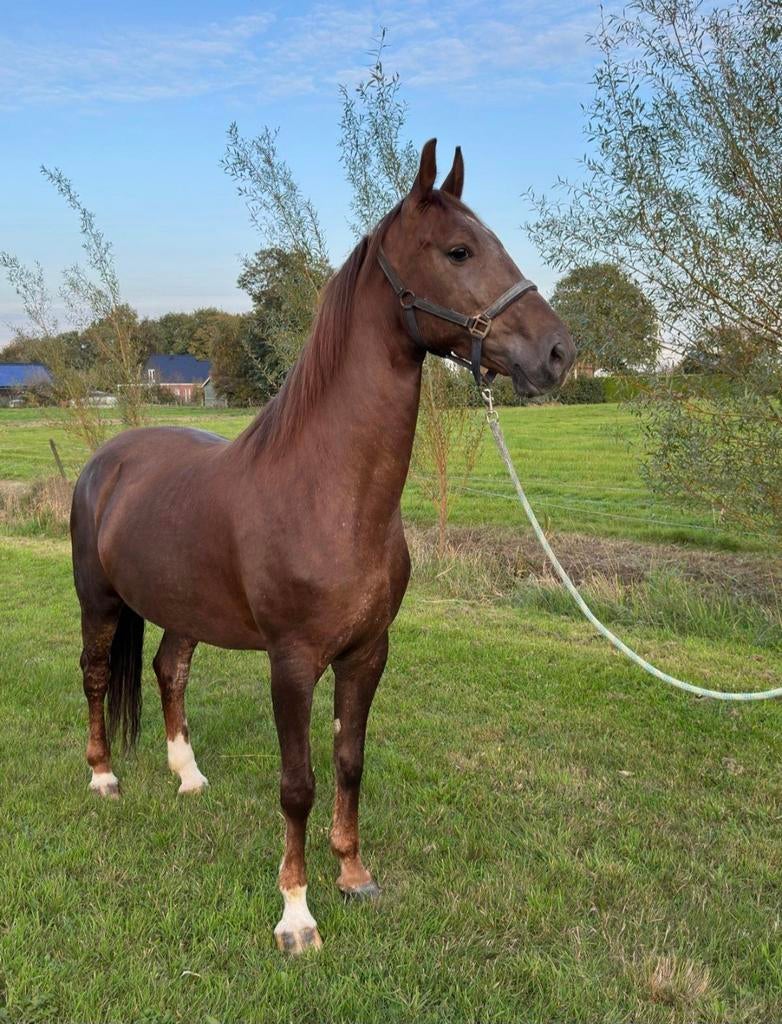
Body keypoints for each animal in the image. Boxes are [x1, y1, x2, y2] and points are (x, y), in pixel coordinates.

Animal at [70, 139, 575, 954]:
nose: (558, 352)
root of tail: (105, 461)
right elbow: (298, 784)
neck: (329, 493)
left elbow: (349, 762)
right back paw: (103, 776)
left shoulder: (367, 653)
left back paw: (188, 776)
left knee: (169, 670)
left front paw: (353, 874)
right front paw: (296, 914)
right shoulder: (292, 661)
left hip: (182, 609)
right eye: (459, 250)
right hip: (99, 601)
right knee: (92, 677)